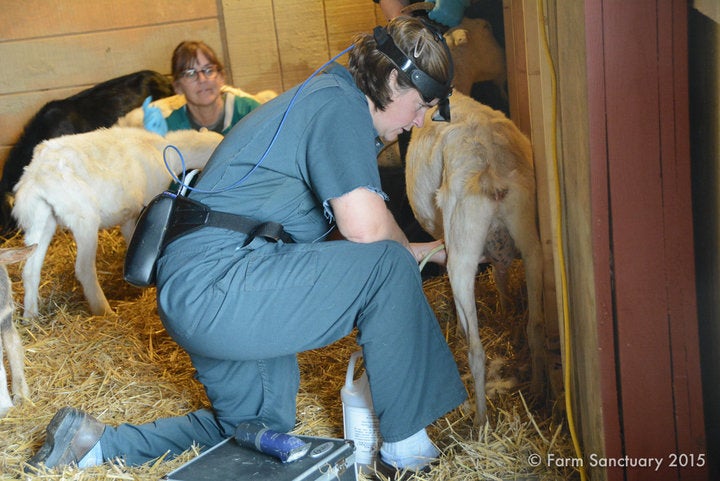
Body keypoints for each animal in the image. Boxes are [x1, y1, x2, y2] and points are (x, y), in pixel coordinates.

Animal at [12, 125, 222, 316]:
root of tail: (36, 177)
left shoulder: (129, 215)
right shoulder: (144, 206)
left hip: (40, 219)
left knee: (30, 269)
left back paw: (31, 315)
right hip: (83, 217)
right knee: (84, 269)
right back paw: (104, 310)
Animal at [404, 92, 544, 422]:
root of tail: (491, 168)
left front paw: (458, 326)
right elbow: (500, 274)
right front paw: (505, 308)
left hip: (462, 249)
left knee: (477, 350)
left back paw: (481, 420)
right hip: (531, 244)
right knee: (534, 327)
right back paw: (538, 393)